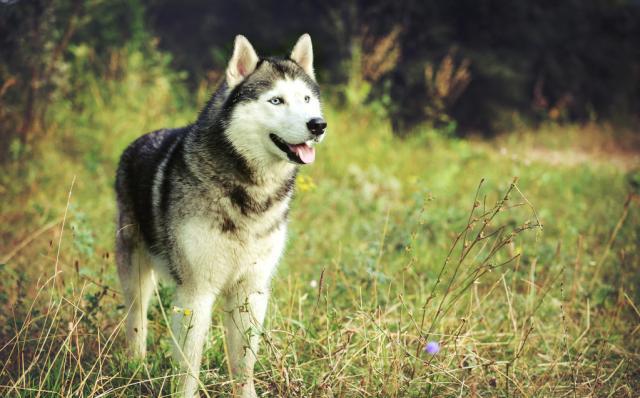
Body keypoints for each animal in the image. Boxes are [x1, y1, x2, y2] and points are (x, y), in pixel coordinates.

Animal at [114, 35, 324, 398]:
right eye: (277, 100)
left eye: (307, 99)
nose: (318, 125)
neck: (252, 196)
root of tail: (138, 141)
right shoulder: (196, 293)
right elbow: (188, 369)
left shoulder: (250, 292)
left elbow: (244, 365)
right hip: (136, 276)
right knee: (136, 321)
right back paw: (135, 367)